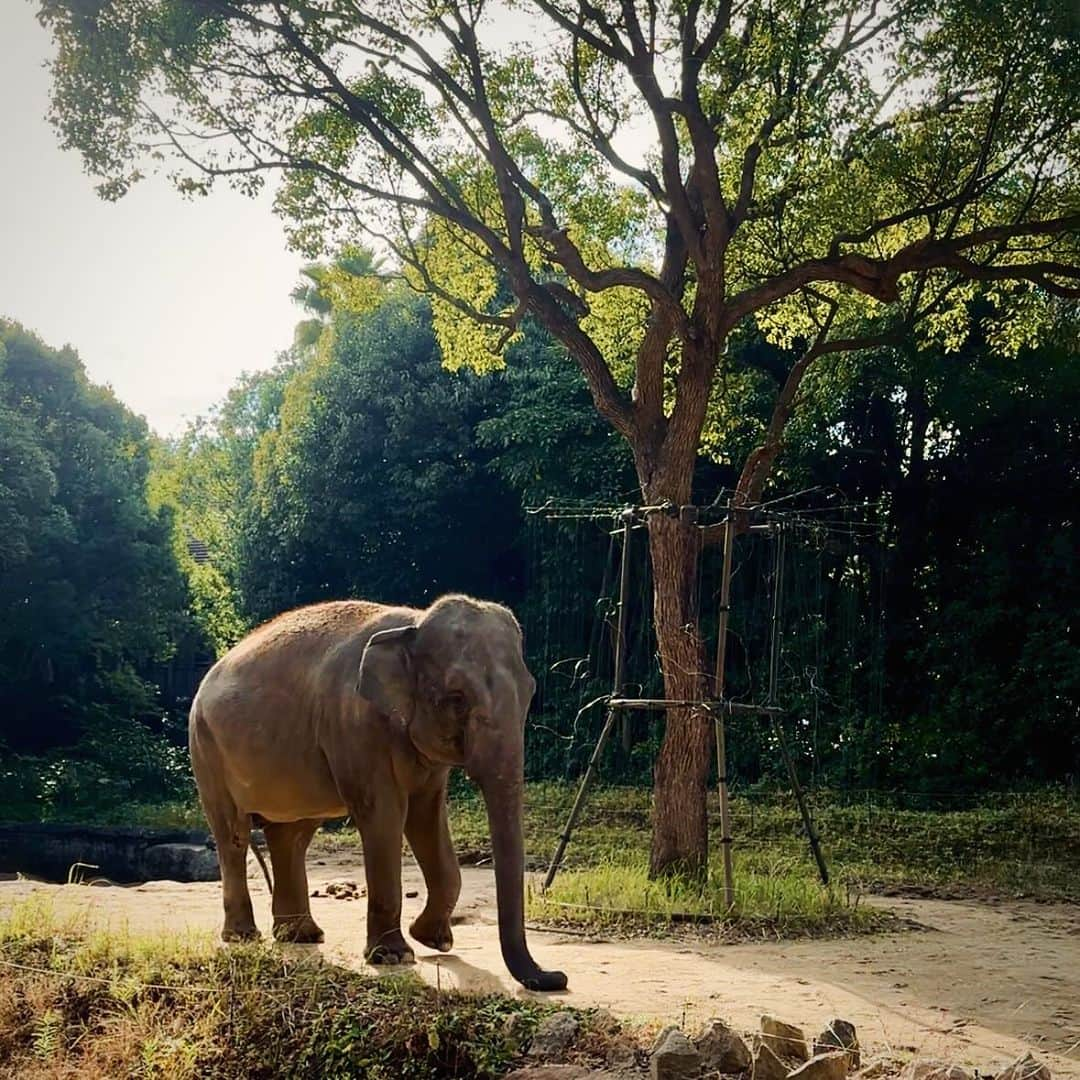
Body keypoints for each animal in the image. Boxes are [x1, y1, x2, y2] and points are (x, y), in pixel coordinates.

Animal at [189, 596, 570, 989]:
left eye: (530, 691)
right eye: (456, 697)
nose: (558, 977)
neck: (413, 625)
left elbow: (426, 817)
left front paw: (434, 940)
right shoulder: (355, 725)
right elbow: (386, 815)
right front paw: (393, 956)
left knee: (291, 836)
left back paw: (301, 935)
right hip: (205, 747)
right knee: (233, 833)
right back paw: (243, 936)